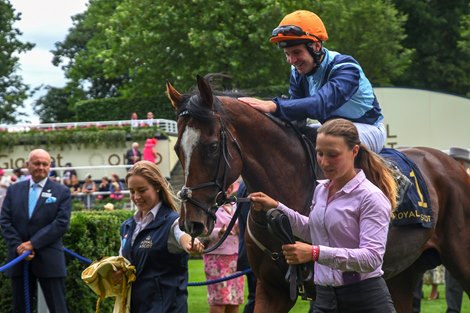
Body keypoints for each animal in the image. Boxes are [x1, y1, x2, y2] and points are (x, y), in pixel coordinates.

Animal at [166, 76, 470, 312]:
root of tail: (451, 164)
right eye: (178, 149)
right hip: (403, 274)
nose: (191, 222)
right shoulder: (272, 289)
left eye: (212, 146)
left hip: (460, 258)